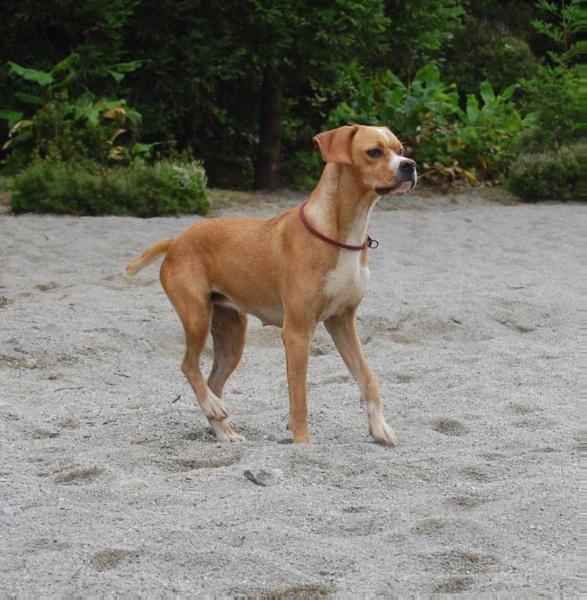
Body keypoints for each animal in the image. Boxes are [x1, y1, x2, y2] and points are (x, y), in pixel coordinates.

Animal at [126, 125, 416, 446]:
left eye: (400, 150)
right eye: (374, 152)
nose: (410, 165)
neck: (342, 231)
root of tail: (176, 241)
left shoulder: (342, 321)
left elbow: (368, 376)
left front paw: (379, 428)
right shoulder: (297, 332)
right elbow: (299, 398)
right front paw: (303, 443)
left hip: (232, 336)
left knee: (213, 381)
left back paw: (223, 428)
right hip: (197, 316)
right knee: (189, 365)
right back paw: (214, 408)